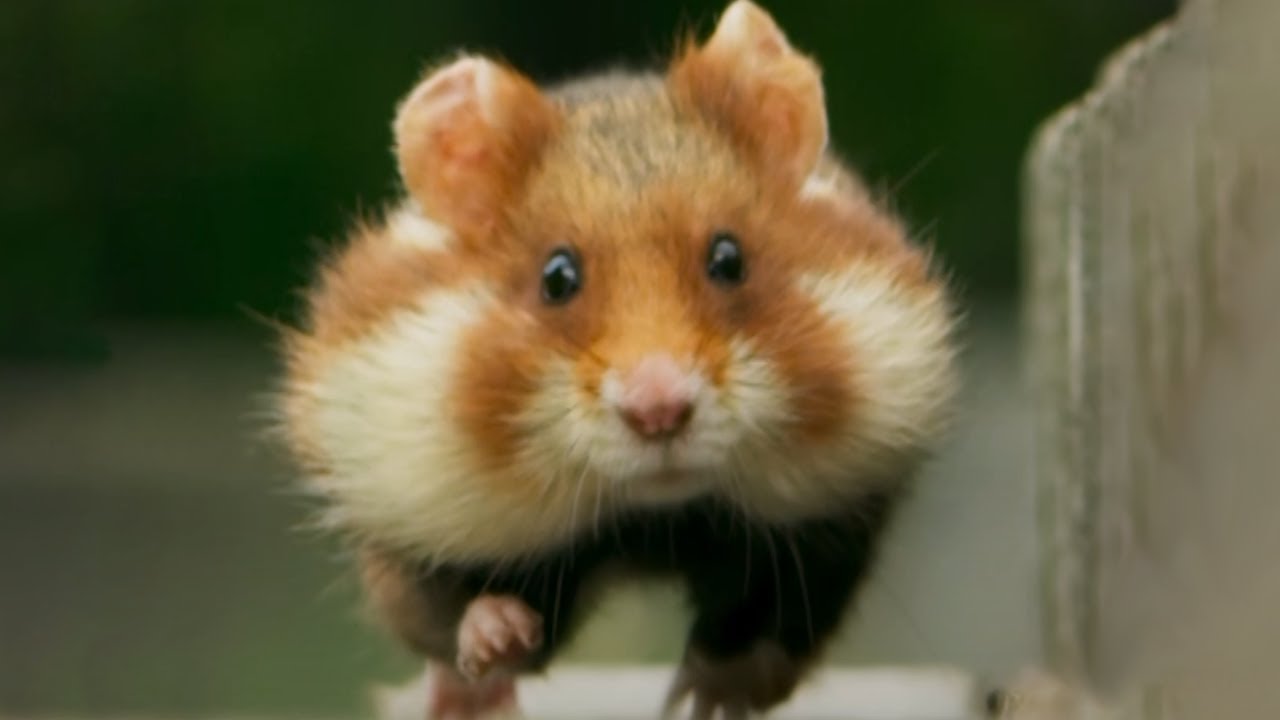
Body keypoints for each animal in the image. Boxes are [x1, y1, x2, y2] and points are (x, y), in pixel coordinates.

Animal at [276, 2, 959, 718]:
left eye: (729, 258)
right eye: (557, 278)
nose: (659, 412)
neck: (650, 521)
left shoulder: (829, 527)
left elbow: (767, 630)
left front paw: (710, 696)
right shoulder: (408, 507)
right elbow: (453, 614)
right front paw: (499, 637)